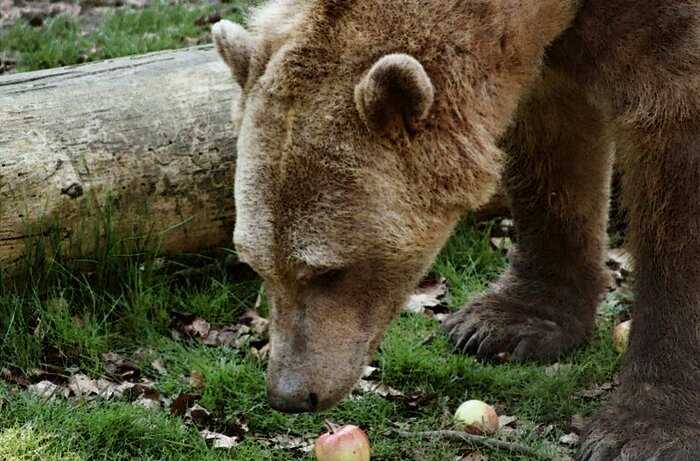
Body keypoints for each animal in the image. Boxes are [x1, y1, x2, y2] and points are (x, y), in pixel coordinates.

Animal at [211, 1, 700, 458]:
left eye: (328, 271)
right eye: (258, 265)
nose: (290, 394)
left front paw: (644, 429)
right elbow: (552, 148)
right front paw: (503, 323)